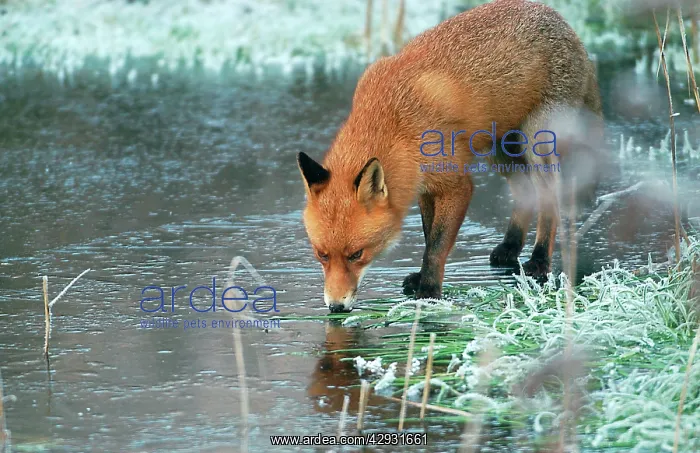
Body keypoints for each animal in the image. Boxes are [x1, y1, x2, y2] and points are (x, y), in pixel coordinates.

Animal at [297, 0, 603, 313]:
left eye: (357, 254)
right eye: (322, 254)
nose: (336, 307)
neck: (396, 121)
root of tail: (565, 24)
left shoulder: (456, 185)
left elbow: (436, 245)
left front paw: (429, 290)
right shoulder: (424, 186)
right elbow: (427, 234)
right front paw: (422, 278)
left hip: (535, 145)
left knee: (549, 199)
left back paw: (540, 260)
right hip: (499, 151)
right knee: (524, 191)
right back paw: (510, 247)